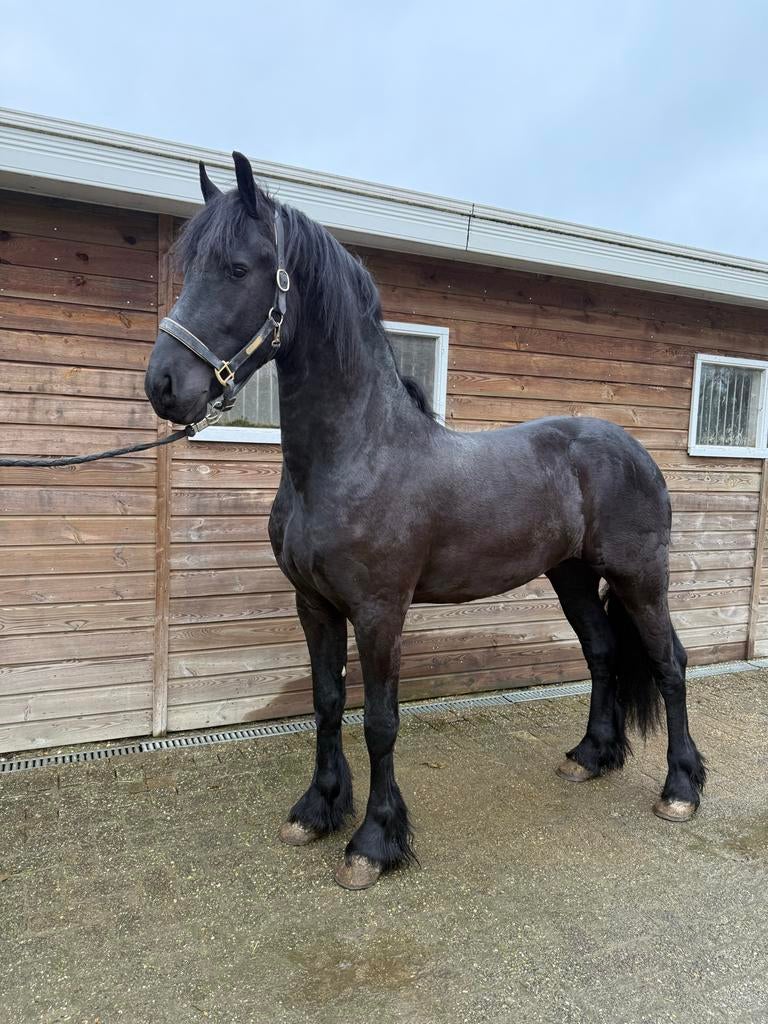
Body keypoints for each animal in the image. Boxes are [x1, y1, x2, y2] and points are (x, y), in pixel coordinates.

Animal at [144, 152, 706, 890]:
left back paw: (681, 788)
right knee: (605, 653)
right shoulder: (313, 605)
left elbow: (380, 720)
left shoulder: (381, 611)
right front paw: (317, 810)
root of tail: (632, 450)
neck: (356, 455)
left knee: (670, 664)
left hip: (641, 577)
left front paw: (374, 842)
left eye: (237, 268)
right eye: (191, 268)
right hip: (573, 576)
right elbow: (328, 702)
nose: (163, 385)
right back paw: (590, 756)